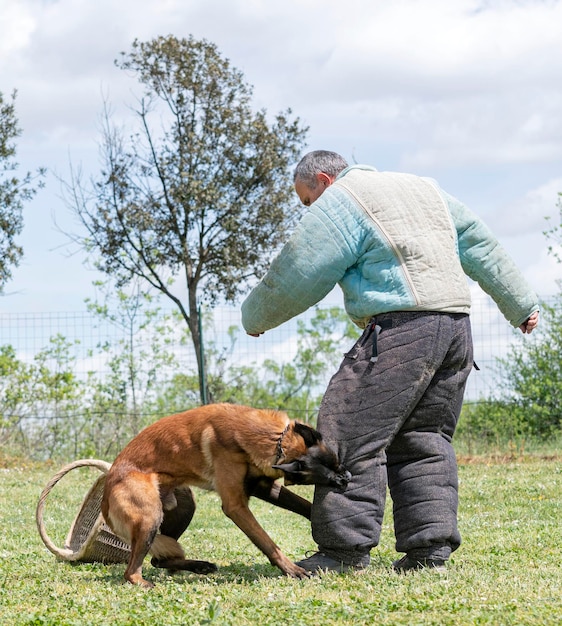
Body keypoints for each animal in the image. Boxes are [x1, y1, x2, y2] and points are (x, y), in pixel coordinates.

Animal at [99, 402, 346, 584]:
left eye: (335, 463)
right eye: (321, 475)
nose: (346, 479)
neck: (274, 439)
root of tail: (106, 490)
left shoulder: (263, 486)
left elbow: (303, 505)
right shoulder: (235, 506)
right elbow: (267, 542)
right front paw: (292, 570)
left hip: (183, 507)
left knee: (159, 559)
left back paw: (199, 566)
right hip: (150, 517)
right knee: (132, 570)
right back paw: (144, 582)